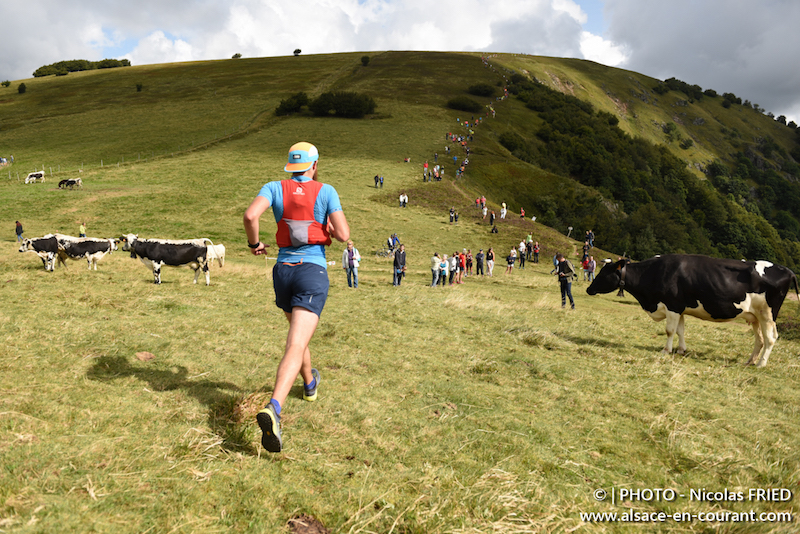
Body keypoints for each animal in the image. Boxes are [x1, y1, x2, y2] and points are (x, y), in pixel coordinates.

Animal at [584, 255, 796, 368]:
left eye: (603, 273)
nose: (588, 289)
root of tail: (787, 270)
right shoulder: (680, 308)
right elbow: (680, 330)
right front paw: (681, 350)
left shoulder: (671, 305)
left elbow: (669, 330)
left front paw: (666, 350)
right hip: (755, 316)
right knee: (759, 339)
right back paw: (750, 361)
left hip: (768, 314)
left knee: (770, 338)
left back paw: (761, 364)